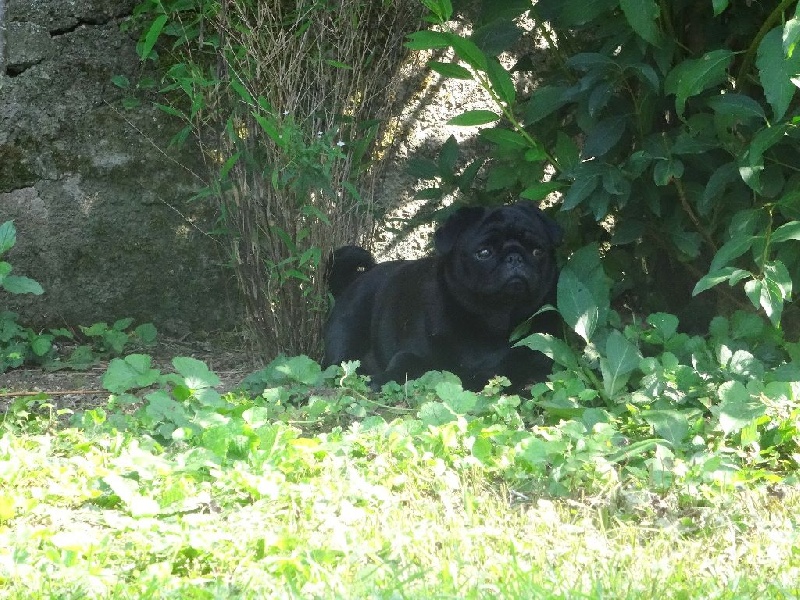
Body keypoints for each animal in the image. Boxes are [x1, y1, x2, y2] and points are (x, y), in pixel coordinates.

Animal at [322, 202, 560, 390]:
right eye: (484, 253)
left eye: (538, 251)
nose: (514, 257)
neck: (492, 320)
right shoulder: (413, 353)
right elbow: (404, 362)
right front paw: (381, 380)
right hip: (348, 327)